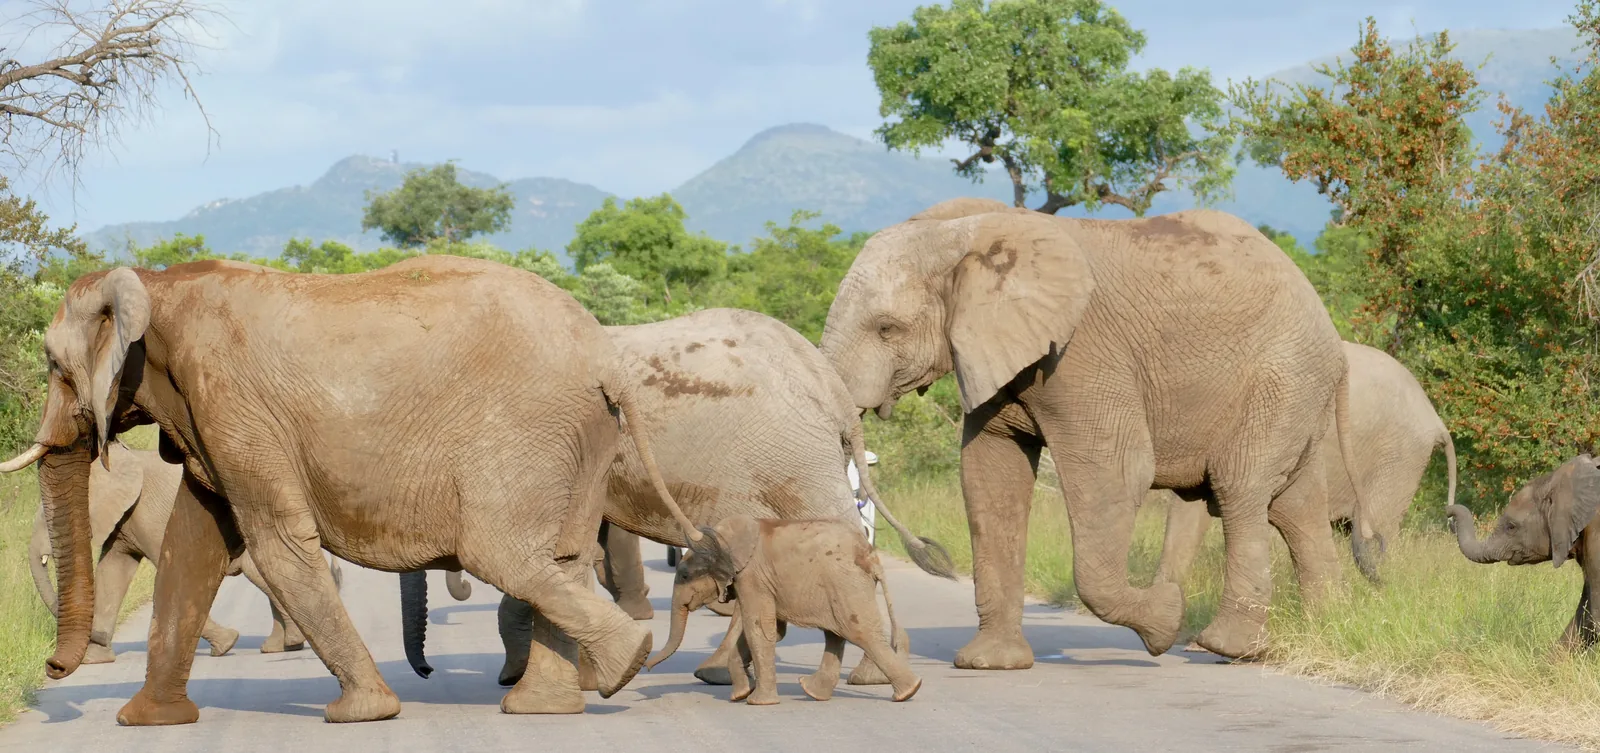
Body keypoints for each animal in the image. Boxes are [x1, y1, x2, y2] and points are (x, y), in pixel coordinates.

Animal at [29, 440, 343, 663]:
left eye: (50, 516)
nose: (52, 664)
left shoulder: (149, 513)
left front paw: (226, 644)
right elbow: (112, 572)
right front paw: (95, 659)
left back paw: (289, 643)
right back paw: (280, 647)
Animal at [643, 514, 923, 705]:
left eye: (685, 575)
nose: (647, 667)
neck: (722, 537)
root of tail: (871, 555)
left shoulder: (752, 576)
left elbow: (759, 629)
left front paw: (757, 702)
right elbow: (767, 630)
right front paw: (740, 694)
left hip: (845, 582)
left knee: (859, 632)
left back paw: (907, 692)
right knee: (836, 634)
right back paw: (814, 692)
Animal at [818, 197, 1367, 664]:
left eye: (887, 328)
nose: (933, 555)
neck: (966, 233)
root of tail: (1335, 343)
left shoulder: (1080, 353)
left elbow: (1118, 471)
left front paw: (1165, 619)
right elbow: (990, 475)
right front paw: (989, 664)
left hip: (1281, 376)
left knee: (1242, 487)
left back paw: (1226, 647)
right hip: (1296, 391)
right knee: (1296, 506)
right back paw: (1331, 629)